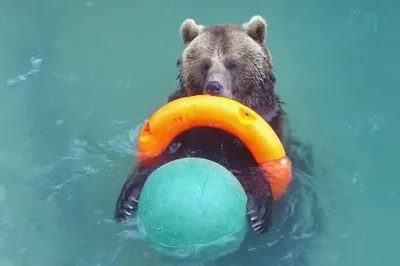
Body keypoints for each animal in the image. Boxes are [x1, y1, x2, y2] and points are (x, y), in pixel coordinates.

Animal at [114, 15, 290, 235]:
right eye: (205, 64)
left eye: (232, 63)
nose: (214, 86)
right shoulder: (188, 137)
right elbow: (163, 157)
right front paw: (127, 199)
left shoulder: (270, 123)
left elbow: (256, 169)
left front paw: (259, 213)